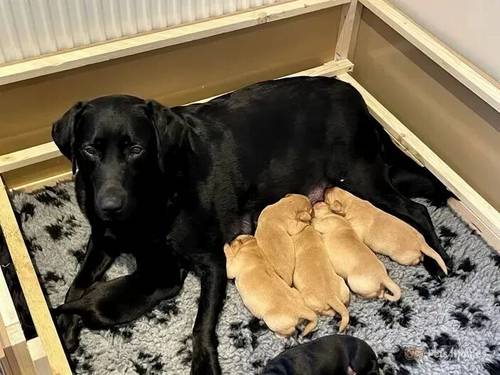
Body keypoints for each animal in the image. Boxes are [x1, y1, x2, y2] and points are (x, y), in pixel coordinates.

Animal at [51, 75, 450, 374]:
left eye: (136, 150)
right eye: (89, 150)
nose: (109, 206)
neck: (151, 196)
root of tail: (355, 96)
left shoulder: (211, 261)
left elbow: (201, 324)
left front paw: (203, 366)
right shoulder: (103, 238)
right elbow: (77, 284)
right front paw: (65, 328)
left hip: (361, 176)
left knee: (418, 211)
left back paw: (439, 263)